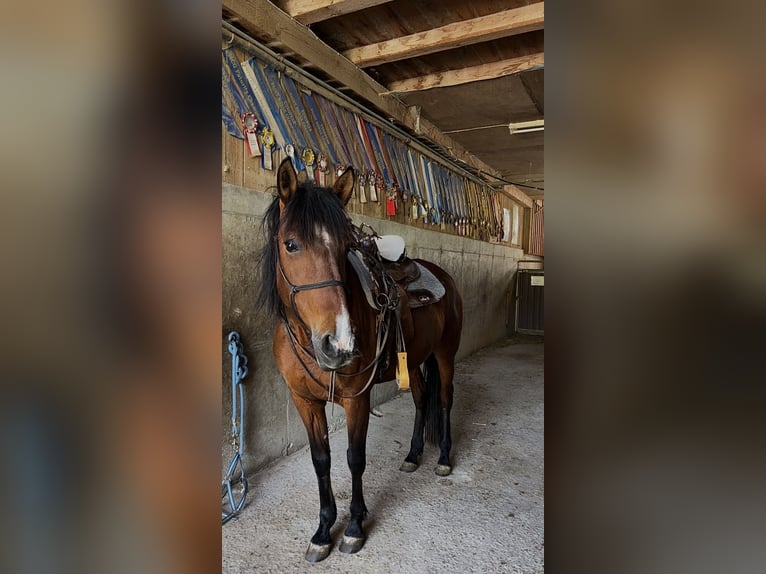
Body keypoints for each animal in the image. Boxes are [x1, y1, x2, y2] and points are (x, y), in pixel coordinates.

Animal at [258, 158, 463, 562]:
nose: (339, 344)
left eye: (344, 248)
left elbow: (355, 457)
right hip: (413, 362)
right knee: (421, 400)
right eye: (291, 244)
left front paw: (354, 526)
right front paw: (323, 531)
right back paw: (413, 454)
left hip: (445, 354)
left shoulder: (357, 400)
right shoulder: (304, 402)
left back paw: (444, 459)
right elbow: (321, 459)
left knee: (444, 400)